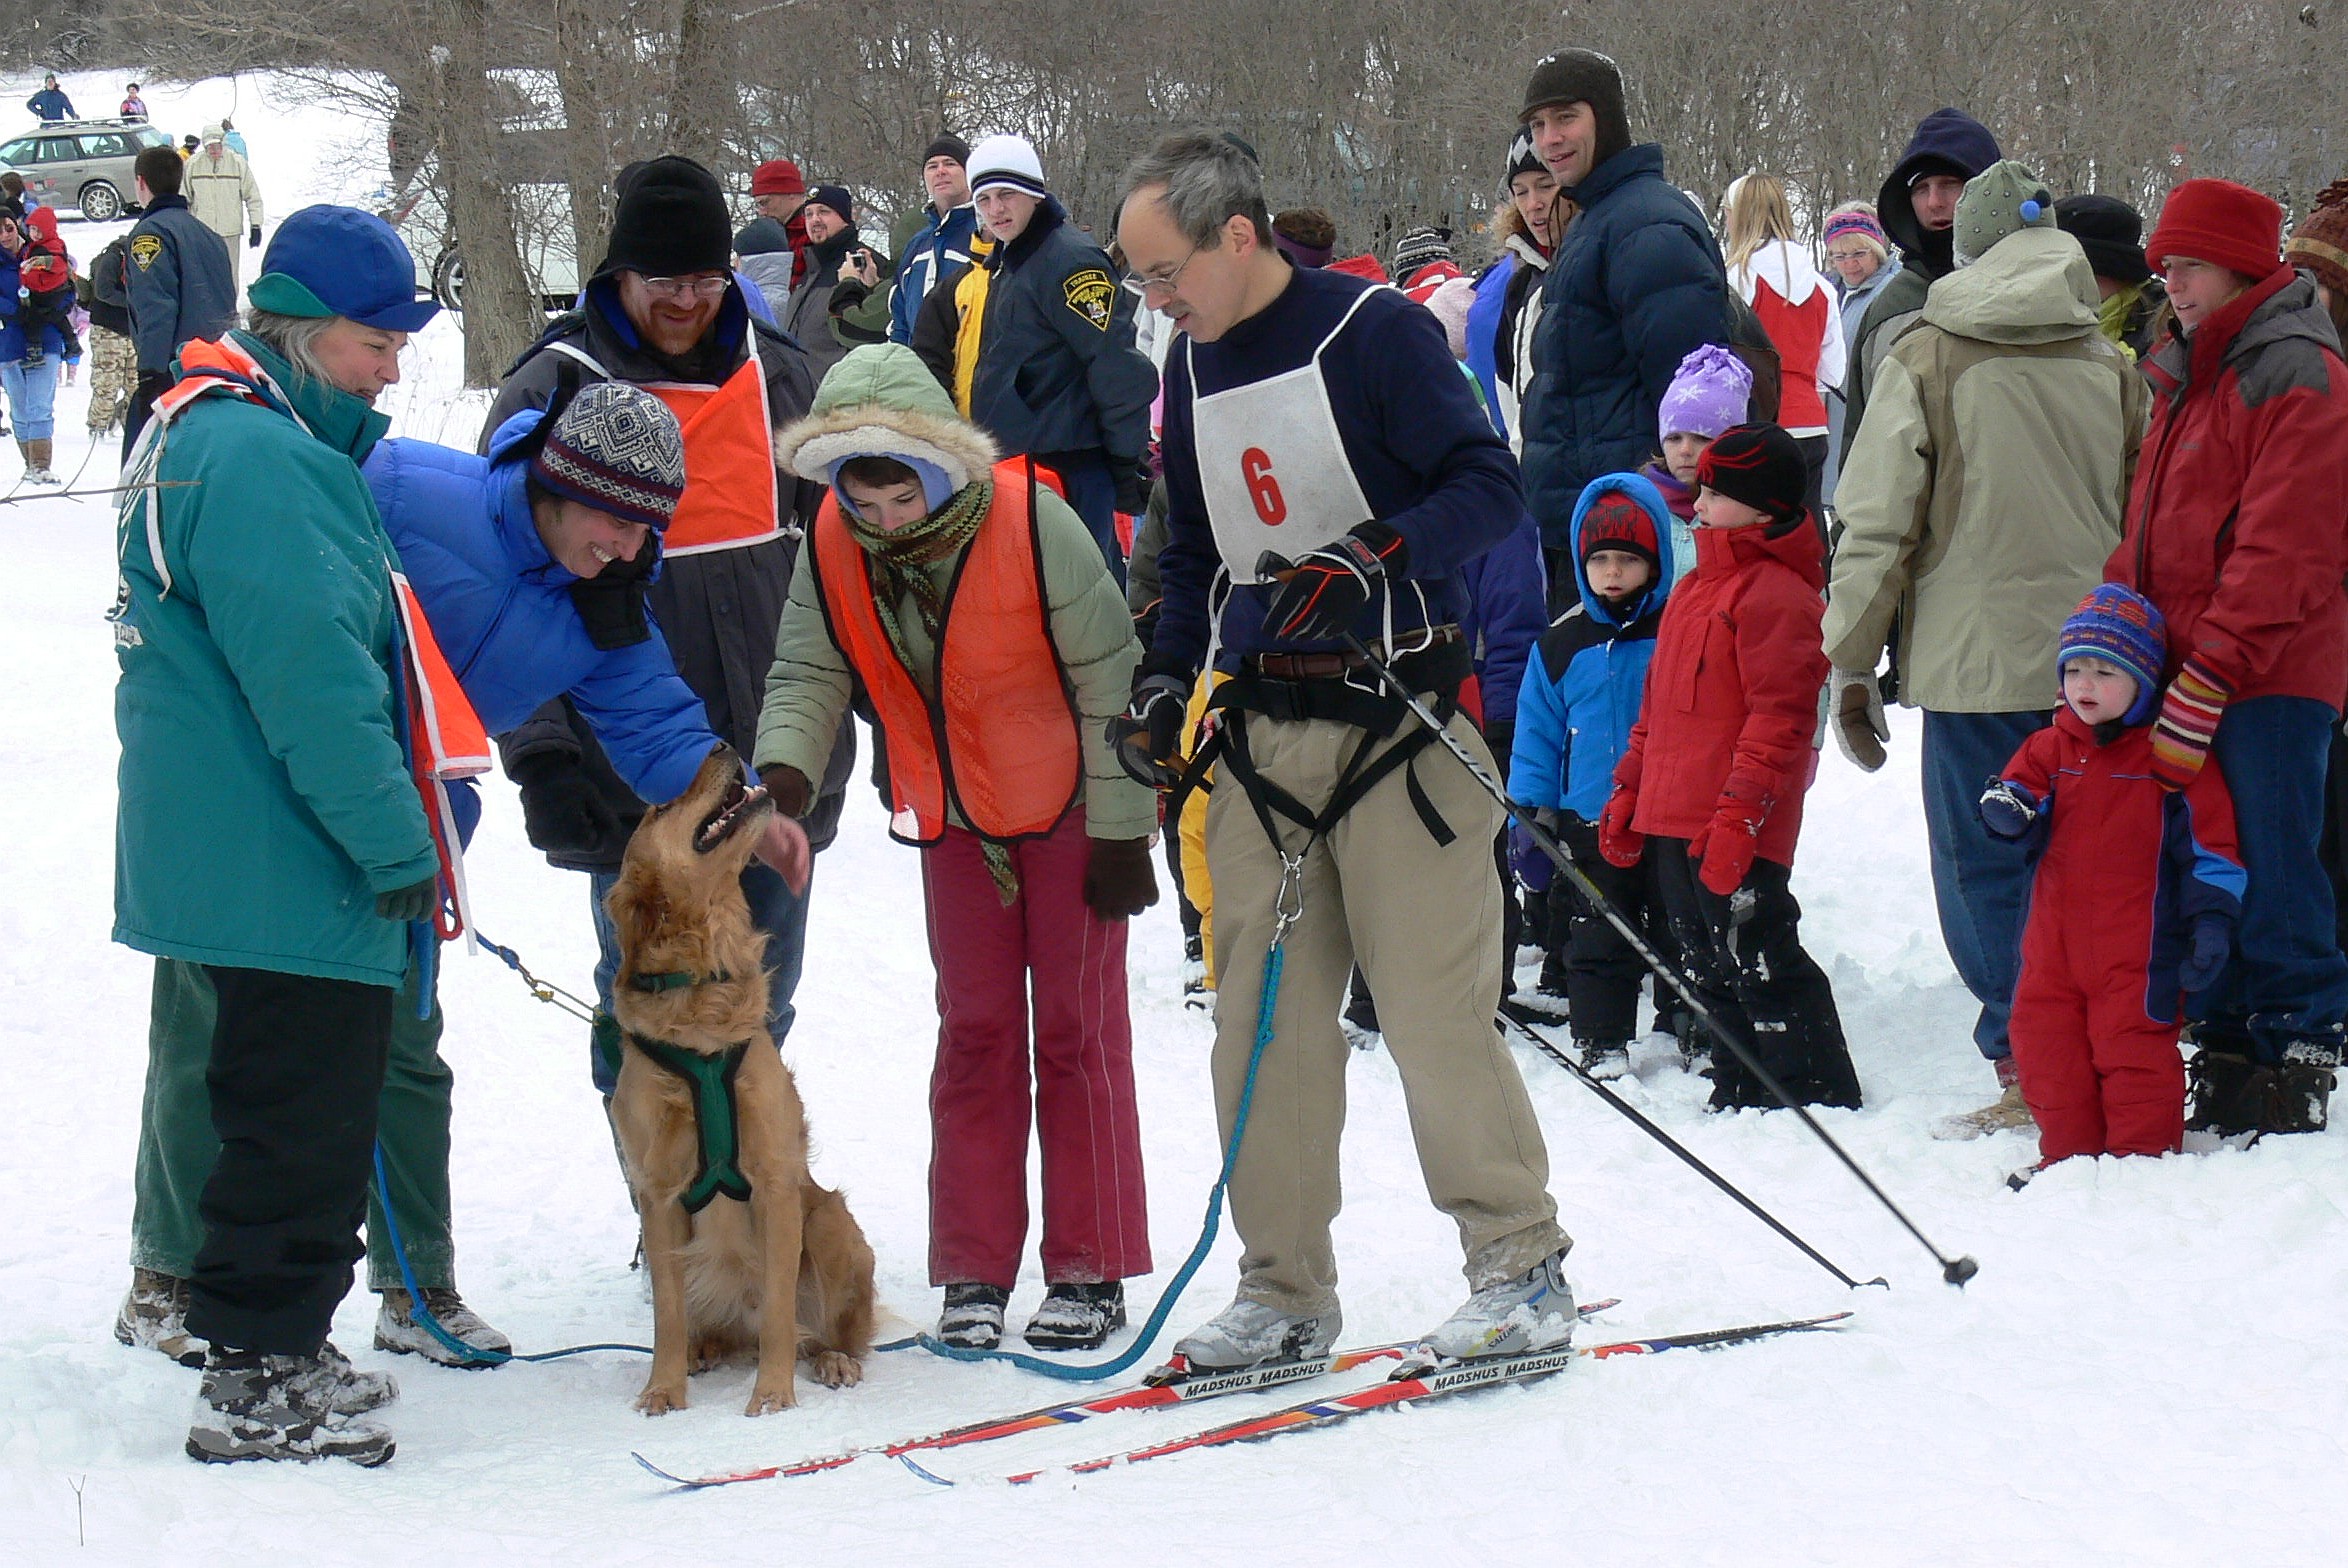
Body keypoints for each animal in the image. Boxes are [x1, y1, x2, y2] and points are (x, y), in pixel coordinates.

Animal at [601, 741, 878, 1417]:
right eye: (659, 808)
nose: (722, 746)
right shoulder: (658, 1193)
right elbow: (668, 1317)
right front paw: (662, 1389)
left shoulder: (776, 1181)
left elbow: (780, 1312)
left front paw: (773, 1396)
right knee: (706, 1324)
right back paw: (703, 1352)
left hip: (828, 1219)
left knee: (822, 1331)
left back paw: (832, 1359)